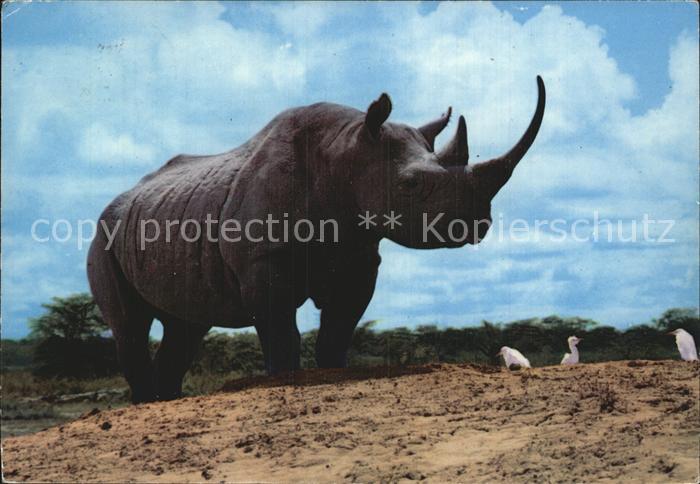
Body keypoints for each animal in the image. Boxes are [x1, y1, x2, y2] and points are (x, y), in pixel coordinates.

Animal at [88, 76, 545, 402]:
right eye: (411, 184)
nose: (477, 224)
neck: (345, 151)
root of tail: (117, 201)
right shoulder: (263, 262)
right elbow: (282, 334)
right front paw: (285, 379)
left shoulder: (359, 256)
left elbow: (338, 330)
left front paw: (331, 373)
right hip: (103, 235)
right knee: (131, 326)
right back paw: (147, 402)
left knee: (185, 326)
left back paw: (166, 400)